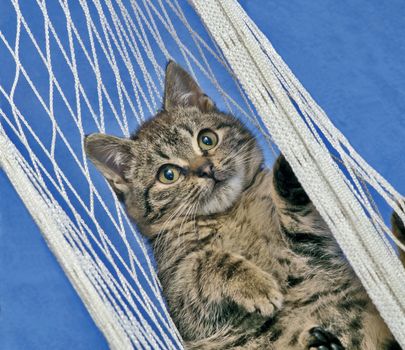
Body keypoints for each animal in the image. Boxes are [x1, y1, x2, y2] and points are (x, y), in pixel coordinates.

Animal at [83, 61, 400, 348]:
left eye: (206, 139)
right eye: (168, 174)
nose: (206, 169)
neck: (232, 213)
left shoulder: (317, 251)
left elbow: (296, 214)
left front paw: (289, 165)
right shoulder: (180, 301)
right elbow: (207, 261)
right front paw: (256, 286)